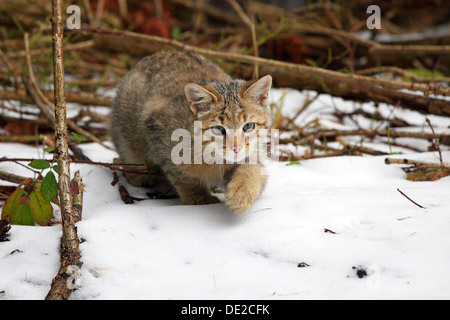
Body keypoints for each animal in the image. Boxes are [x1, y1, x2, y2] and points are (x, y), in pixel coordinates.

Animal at [110, 51, 270, 214]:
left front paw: (242, 192)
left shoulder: (253, 152)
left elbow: (253, 169)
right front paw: (198, 197)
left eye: (248, 126)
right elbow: (183, 176)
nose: (236, 148)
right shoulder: (157, 133)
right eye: (219, 129)